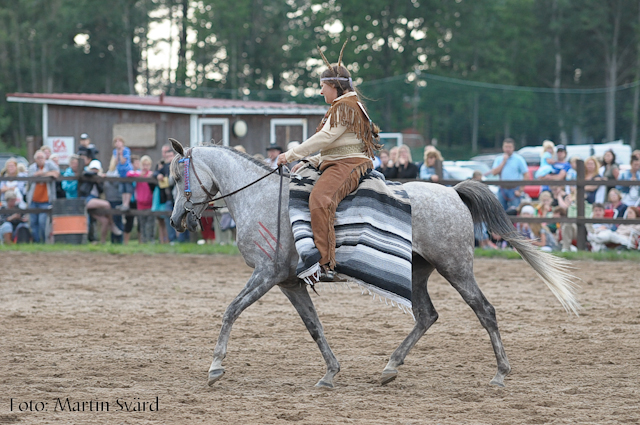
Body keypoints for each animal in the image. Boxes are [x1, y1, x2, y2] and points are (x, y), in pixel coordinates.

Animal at [168, 138, 576, 388]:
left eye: (176, 176)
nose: (175, 220)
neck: (261, 196)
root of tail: (454, 192)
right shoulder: (289, 282)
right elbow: (314, 326)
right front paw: (330, 373)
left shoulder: (266, 275)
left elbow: (231, 310)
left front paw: (215, 367)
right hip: (419, 272)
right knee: (427, 316)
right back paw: (389, 367)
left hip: (456, 268)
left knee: (484, 310)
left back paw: (500, 373)